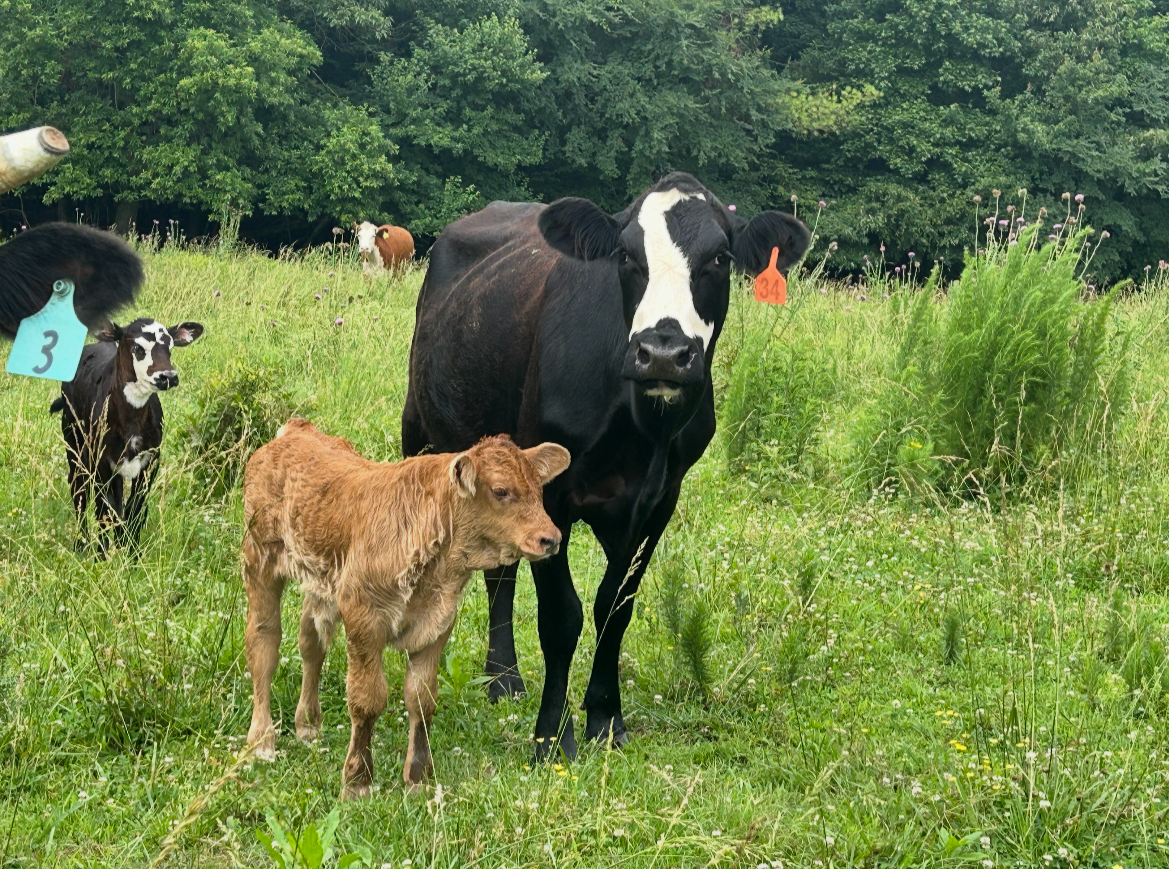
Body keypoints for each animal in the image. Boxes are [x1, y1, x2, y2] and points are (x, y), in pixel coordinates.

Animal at [50, 318, 204, 554]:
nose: (168, 376)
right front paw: (102, 556)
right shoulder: (101, 461)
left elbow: (135, 510)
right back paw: (81, 544)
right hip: (73, 442)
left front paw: (132, 554)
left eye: (169, 347)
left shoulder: (151, 461)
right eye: (138, 348)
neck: (131, 423)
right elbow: (105, 511)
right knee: (79, 489)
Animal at [241, 419, 570, 798]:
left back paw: (308, 723)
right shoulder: (364, 617)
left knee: (312, 640)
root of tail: (297, 430)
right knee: (264, 644)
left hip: (321, 580)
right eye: (501, 490)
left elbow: (422, 698)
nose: (551, 538)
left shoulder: (438, 624)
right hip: (259, 560)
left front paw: (419, 778)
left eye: (539, 490)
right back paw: (261, 740)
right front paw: (357, 781)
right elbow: (367, 699)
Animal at [403, 171, 810, 760]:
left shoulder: (659, 499)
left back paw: (503, 679)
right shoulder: (549, 493)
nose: (663, 352)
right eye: (625, 255)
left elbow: (614, 608)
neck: (641, 431)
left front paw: (605, 719)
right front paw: (552, 736)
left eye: (720, 258)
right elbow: (560, 616)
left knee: (500, 572)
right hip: (418, 429)